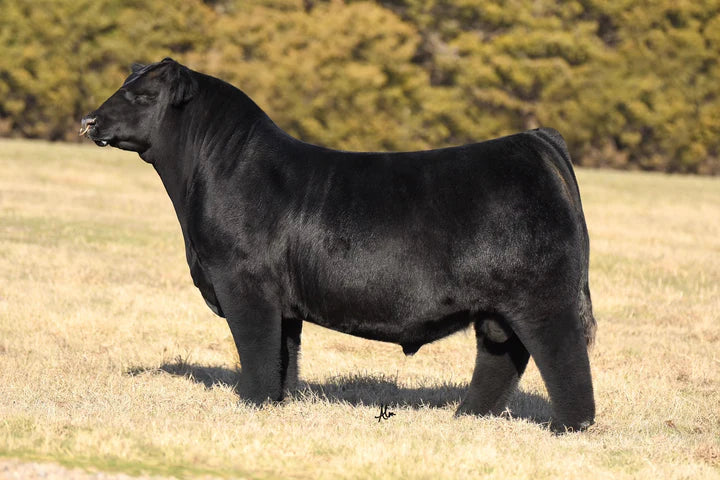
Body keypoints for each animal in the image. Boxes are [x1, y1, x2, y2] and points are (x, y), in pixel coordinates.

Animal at [81, 58, 596, 432]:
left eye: (142, 96)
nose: (90, 120)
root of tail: (534, 141)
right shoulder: (282, 302)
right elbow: (283, 355)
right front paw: (278, 402)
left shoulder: (243, 283)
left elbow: (255, 347)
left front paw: (251, 402)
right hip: (497, 309)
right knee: (501, 357)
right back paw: (467, 417)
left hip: (543, 299)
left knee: (564, 355)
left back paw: (570, 428)